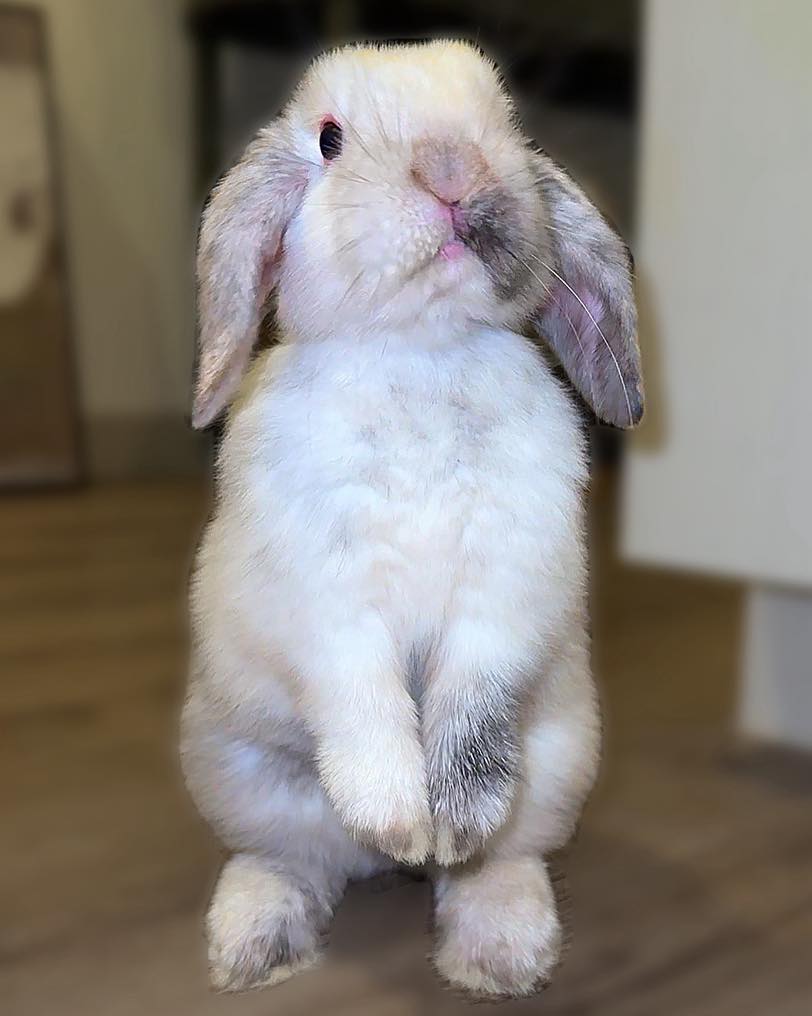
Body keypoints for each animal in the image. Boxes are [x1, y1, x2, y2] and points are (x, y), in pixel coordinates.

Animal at [180, 39, 643, 999]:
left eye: (506, 123)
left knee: (502, 861)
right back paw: (263, 939)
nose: (453, 170)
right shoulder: (324, 609)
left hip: (556, 768)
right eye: (329, 139)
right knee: (291, 862)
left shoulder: (511, 586)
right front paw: (399, 816)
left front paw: (453, 823)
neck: (418, 350)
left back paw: (494, 942)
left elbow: (472, 707)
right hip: (244, 777)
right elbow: (362, 698)